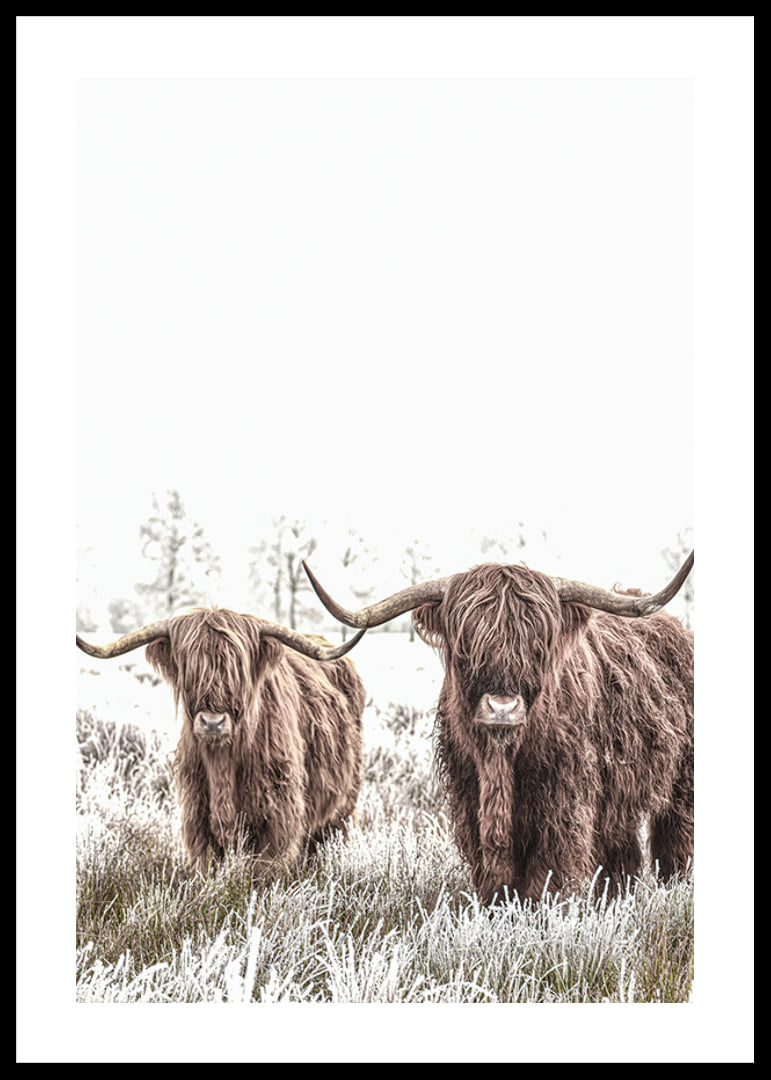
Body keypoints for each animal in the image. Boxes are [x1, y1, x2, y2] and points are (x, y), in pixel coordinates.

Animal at [76, 609, 367, 875]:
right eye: (189, 667)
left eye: (237, 669)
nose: (212, 722)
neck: (222, 763)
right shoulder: (197, 817)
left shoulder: (277, 817)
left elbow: (264, 871)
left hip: (344, 804)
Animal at [302, 552, 694, 905]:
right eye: (466, 645)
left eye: (539, 645)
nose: (502, 708)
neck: (501, 759)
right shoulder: (470, 803)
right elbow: (495, 879)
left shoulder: (563, 807)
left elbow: (544, 878)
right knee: (622, 851)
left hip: (682, 783)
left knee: (675, 840)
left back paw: (673, 890)